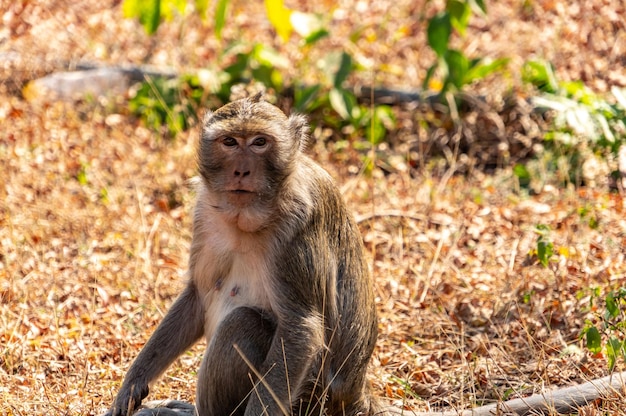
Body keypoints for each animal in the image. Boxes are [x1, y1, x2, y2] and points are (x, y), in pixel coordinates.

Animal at [105, 93, 378, 416]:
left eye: (260, 142)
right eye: (230, 142)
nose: (241, 171)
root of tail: (356, 397)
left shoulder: (299, 225)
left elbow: (301, 328)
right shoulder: (204, 215)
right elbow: (197, 295)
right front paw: (131, 385)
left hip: (310, 400)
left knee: (243, 322)